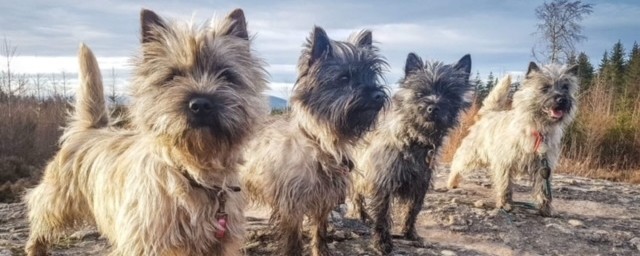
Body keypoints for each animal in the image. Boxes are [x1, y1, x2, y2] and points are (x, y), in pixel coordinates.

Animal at [25, 8, 268, 256]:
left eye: (226, 75)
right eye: (172, 76)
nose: (201, 104)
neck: (195, 174)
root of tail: (92, 129)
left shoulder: (220, 242)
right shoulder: (146, 241)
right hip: (57, 201)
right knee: (38, 214)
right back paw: (36, 247)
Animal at [444, 62, 580, 216]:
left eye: (565, 87)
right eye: (544, 87)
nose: (562, 99)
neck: (538, 129)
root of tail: (488, 114)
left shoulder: (544, 166)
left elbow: (542, 188)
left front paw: (545, 208)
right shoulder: (505, 163)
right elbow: (505, 185)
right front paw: (505, 204)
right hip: (472, 154)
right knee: (457, 163)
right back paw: (451, 182)